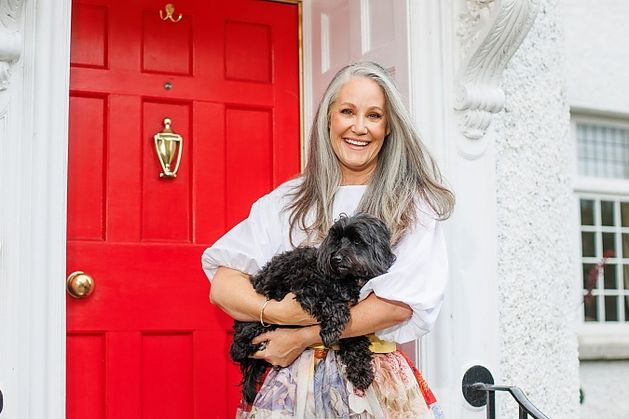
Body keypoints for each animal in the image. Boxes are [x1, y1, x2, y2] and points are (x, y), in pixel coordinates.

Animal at [231, 215, 394, 406]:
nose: (336, 258)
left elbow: (355, 341)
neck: (346, 279)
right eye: (336, 241)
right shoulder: (308, 288)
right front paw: (330, 331)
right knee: (238, 348)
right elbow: (333, 305)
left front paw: (360, 371)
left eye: (357, 241)